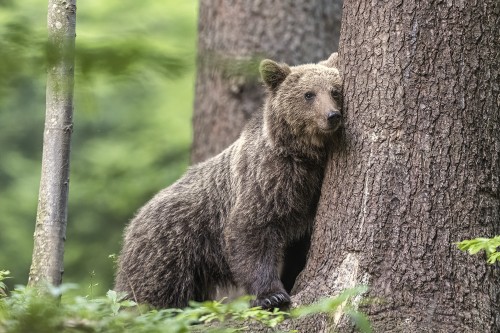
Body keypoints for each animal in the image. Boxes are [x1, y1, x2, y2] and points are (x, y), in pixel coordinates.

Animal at [116, 52, 344, 308]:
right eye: (309, 94)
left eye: (335, 91)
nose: (332, 115)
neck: (303, 157)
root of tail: (132, 224)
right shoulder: (266, 182)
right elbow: (251, 232)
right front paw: (272, 295)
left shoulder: (308, 193)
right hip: (167, 253)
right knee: (152, 297)